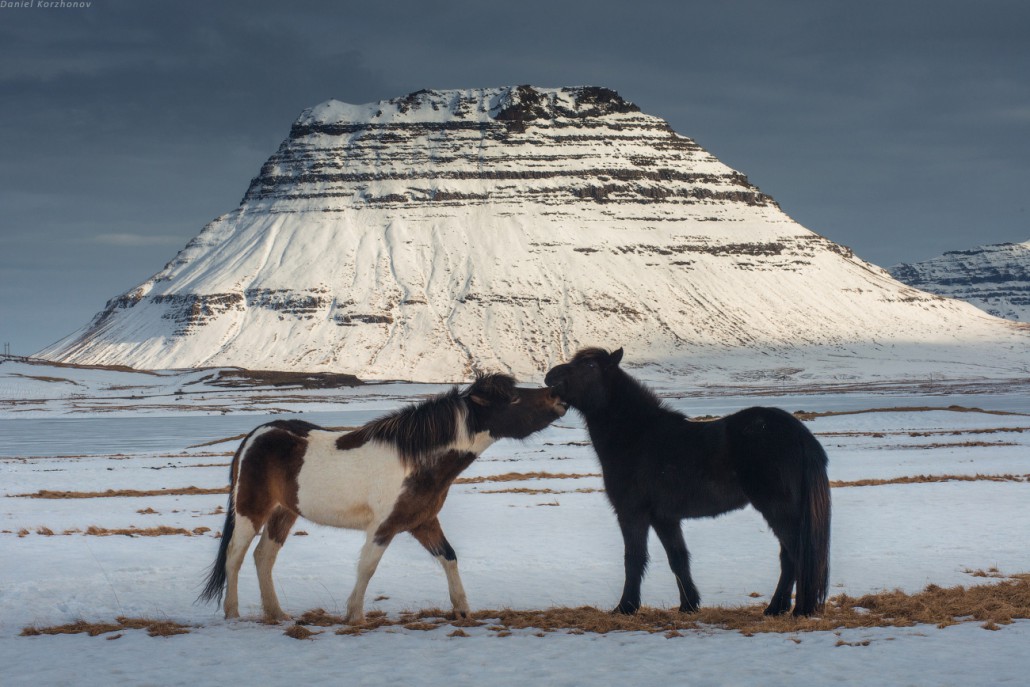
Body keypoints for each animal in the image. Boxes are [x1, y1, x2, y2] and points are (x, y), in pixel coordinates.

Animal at [196, 372, 568, 626]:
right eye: (513, 399)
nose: (557, 395)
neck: (415, 461)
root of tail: (255, 435)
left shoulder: (422, 522)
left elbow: (449, 557)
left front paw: (462, 609)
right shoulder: (383, 527)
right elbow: (367, 567)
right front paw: (354, 616)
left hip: (283, 513)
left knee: (264, 557)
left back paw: (277, 614)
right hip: (251, 511)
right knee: (235, 557)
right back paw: (232, 614)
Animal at [547, 350, 828, 617]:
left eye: (590, 365)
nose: (550, 378)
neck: (637, 435)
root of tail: (800, 435)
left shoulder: (632, 513)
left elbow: (634, 559)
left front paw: (626, 607)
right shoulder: (664, 518)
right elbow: (678, 559)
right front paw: (689, 605)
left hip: (778, 509)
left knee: (796, 554)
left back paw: (798, 609)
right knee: (788, 557)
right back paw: (777, 608)